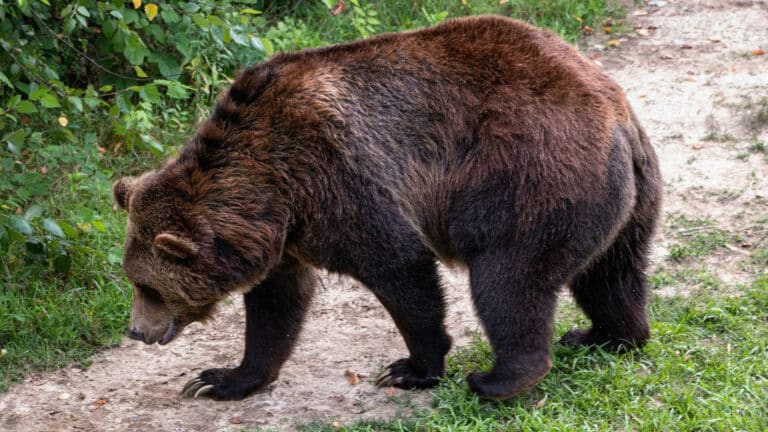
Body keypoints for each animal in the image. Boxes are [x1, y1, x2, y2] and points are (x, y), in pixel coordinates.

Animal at [113, 15, 662, 401]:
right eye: (134, 281)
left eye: (149, 286)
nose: (137, 331)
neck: (270, 189)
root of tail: (616, 112)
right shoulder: (284, 234)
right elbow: (276, 305)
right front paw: (221, 379)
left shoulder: (337, 178)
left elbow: (399, 266)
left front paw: (412, 368)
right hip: (625, 200)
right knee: (612, 273)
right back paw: (603, 335)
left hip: (531, 178)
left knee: (510, 279)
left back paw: (499, 378)